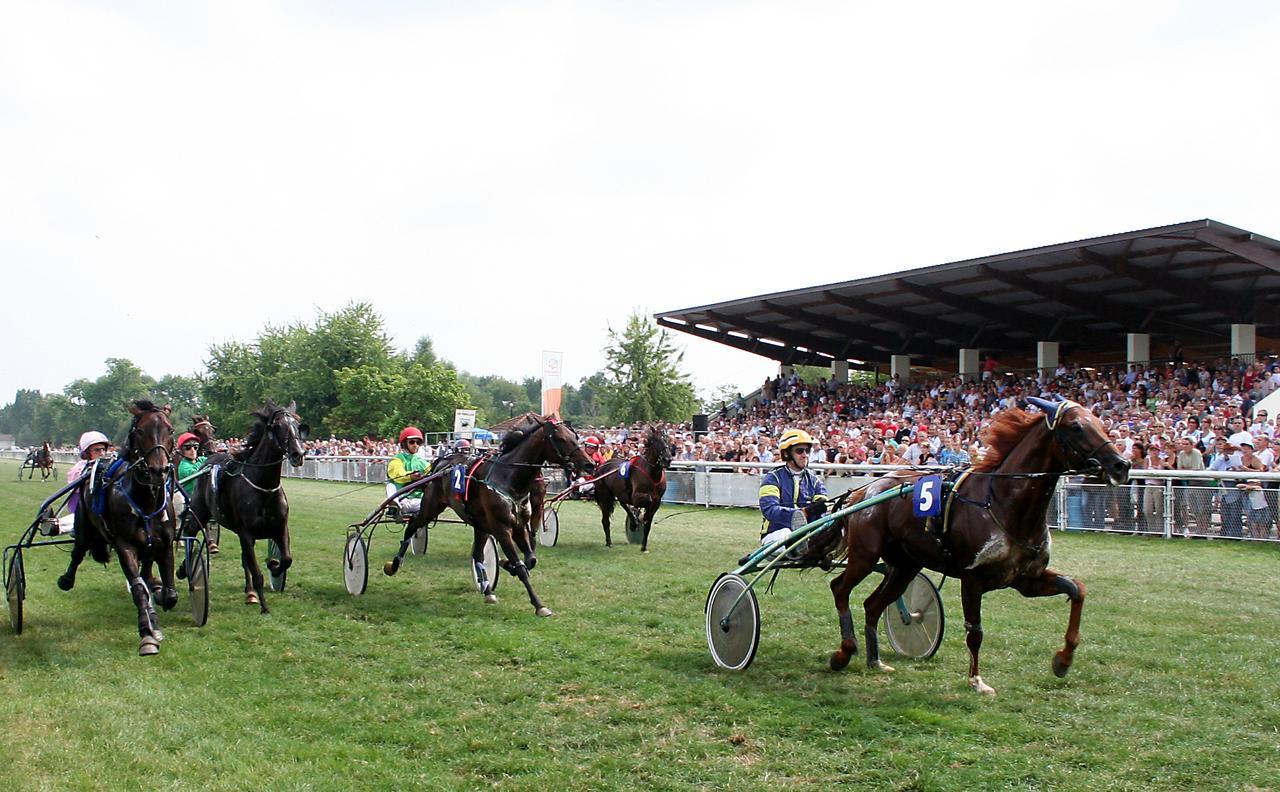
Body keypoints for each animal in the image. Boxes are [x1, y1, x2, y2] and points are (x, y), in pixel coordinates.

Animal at [56, 401, 177, 655]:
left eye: (170, 431)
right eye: (140, 431)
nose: (158, 470)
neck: (145, 502)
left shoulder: (164, 545)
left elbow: (170, 593)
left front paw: (159, 598)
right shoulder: (125, 546)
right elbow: (139, 589)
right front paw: (147, 633)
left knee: (146, 571)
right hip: (85, 526)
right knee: (78, 551)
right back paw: (66, 579)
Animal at [186, 401, 308, 614]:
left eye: (297, 425)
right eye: (277, 426)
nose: (298, 454)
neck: (264, 487)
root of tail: (209, 461)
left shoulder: (280, 529)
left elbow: (286, 559)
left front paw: (273, 564)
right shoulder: (247, 534)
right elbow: (257, 572)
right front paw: (265, 607)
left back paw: (250, 592)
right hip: (199, 512)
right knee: (190, 533)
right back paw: (183, 570)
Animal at [389, 414, 593, 619]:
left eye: (576, 436)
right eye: (561, 438)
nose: (589, 464)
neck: (509, 478)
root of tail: (441, 463)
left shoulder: (519, 526)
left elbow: (530, 560)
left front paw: (505, 563)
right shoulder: (502, 529)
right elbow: (522, 567)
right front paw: (539, 605)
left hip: (479, 524)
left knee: (478, 555)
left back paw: (487, 591)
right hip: (431, 507)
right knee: (413, 525)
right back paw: (395, 563)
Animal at [819, 396, 1131, 696]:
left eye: (1100, 423)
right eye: (1077, 427)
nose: (1121, 465)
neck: (1003, 503)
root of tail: (865, 491)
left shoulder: (1025, 579)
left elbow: (1077, 590)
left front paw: (1063, 661)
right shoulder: (972, 578)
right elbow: (975, 631)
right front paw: (976, 681)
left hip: (906, 566)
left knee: (872, 605)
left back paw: (875, 660)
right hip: (865, 555)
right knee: (839, 589)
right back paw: (844, 652)